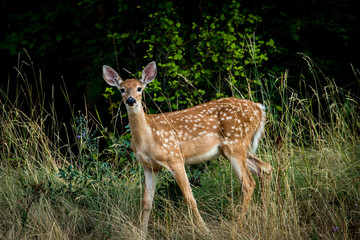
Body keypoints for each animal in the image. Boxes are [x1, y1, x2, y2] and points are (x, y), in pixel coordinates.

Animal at [102, 61, 272, 235]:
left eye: (139, 88)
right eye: (122, 89)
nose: (130, 100)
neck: (148, 139)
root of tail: (259, 109)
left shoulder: (175, 157)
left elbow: (190, 198)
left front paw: (205, 231)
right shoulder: (149, 166)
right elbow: (147, 202)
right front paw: (142, 234)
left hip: (235, 143)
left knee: (248, 183)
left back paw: (236, 227)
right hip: (232, 149)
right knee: (265, 168)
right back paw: (264, 219)